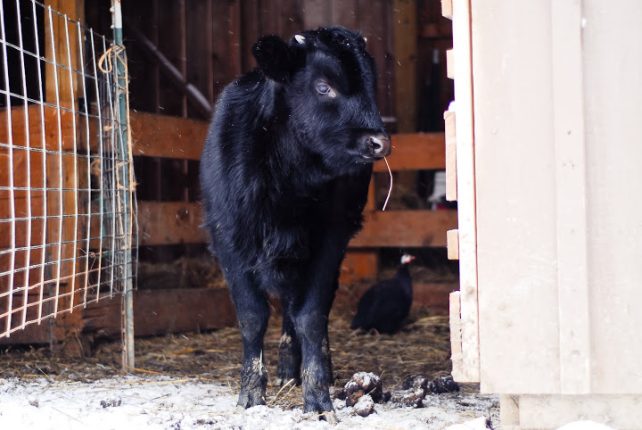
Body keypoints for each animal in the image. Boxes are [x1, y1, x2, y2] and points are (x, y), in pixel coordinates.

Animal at [199, 27, 390, 421]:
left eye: (370, 86)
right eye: (323, 86)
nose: (379, 141)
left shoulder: (329, 240)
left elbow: (311, 316)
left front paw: (318, 397)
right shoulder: (228, 239)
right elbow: (252, 317)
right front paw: (251, 393)